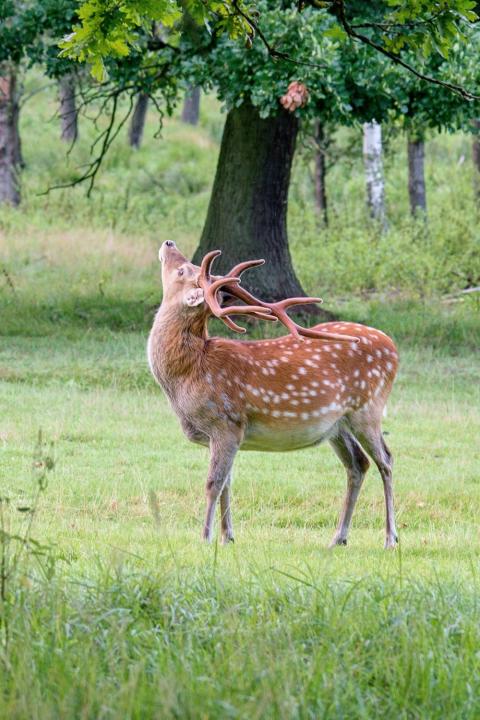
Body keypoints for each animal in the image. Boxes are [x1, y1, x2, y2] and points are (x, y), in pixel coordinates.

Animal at [148, 239, 400, 548]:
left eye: (183, 270)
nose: (168, 242)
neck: (186, 376)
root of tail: (392, 346)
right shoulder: (227, 435)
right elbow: (227, 483)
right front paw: (227, 537)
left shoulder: (226, 422)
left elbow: (213, 483)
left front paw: (205, 538)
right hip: (338, 425)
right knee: (358, 463)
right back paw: (338, 538)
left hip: (368, 408)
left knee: (385, 460)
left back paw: (390, 538)